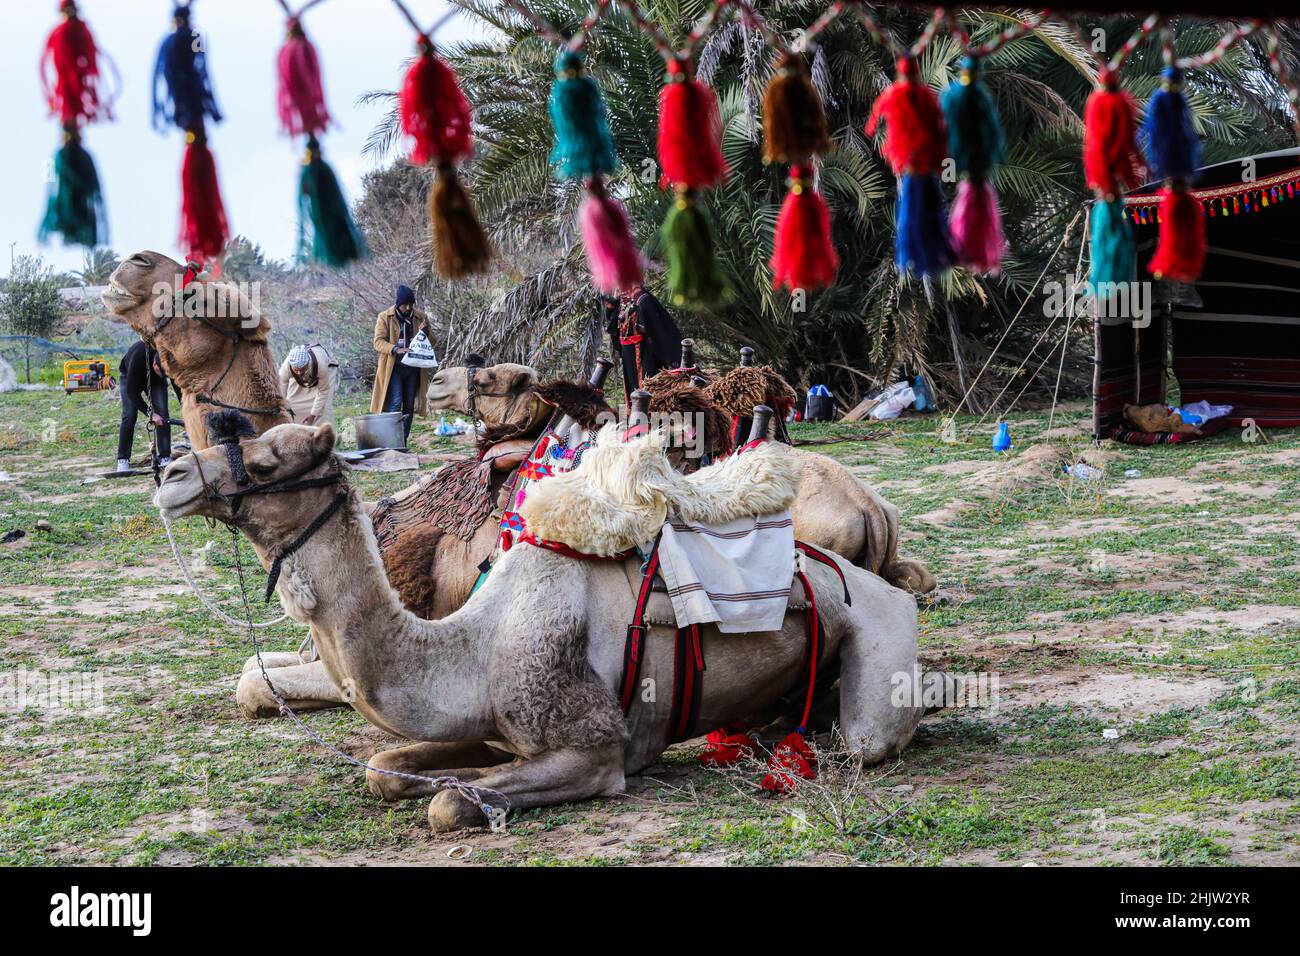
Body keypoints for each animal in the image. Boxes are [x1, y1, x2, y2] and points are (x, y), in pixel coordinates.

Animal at [154, 416, 935, 832]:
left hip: (879, 644)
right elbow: (384, 769)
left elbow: (450, 805)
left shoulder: (593, 750)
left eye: (265, 461)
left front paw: (461, 793)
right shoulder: (489, 726)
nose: (170, 473)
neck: (472, 646)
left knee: (863, 737)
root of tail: (877, 517)